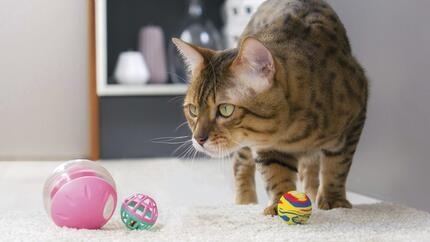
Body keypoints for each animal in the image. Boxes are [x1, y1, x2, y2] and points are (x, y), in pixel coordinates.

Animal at [173, 0, 368, 216]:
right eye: (193, 110)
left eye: (225, 109)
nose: (198, 139)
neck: (294, 130)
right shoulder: (265, 147)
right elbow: (276, 174)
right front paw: (279, 203)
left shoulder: (356, 117)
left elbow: (337, 166)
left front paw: (334, 201)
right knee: (241, 164)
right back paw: (245, 202)